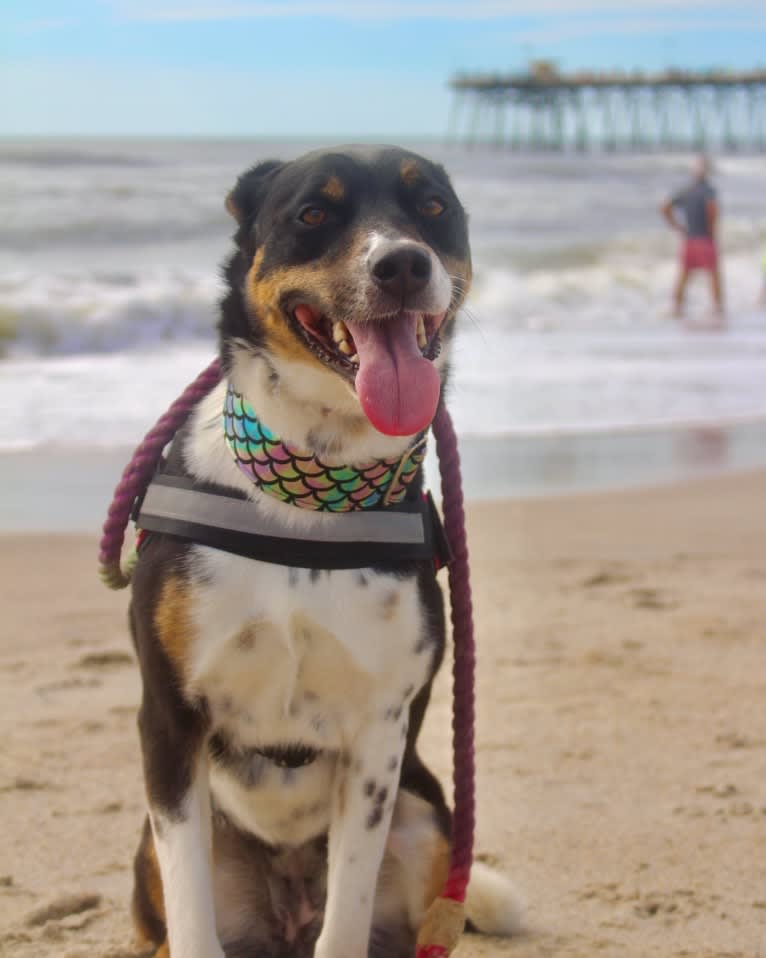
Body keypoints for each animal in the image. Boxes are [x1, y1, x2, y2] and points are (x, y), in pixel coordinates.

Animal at [129, 144, 520, 958]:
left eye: (432, 207)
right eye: (313, 213)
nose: (402, 265)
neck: (312, 493)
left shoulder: (378, 734)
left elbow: (346, 916)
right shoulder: (169, 720)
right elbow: (191, 916)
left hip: (426, 820)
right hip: (162, 845)